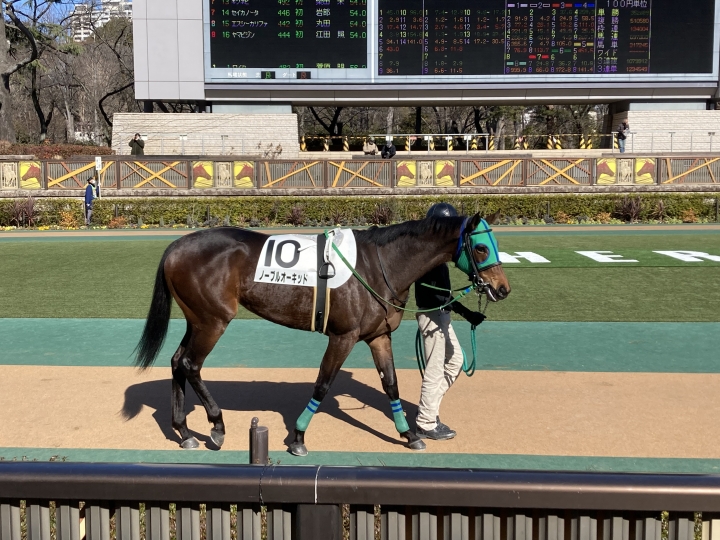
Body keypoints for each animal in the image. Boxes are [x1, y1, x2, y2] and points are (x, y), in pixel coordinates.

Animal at [134, 212, 511, 455]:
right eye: (481, 248)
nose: (502, 288)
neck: (379, 266)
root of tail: (175, 247)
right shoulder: (343, 337)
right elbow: (323, 383)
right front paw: (299, 436)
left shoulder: (379, 337)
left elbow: (390, 384)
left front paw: (409, 434)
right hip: (213, 321)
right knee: (191, 365)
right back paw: (216, 425)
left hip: (198, 320)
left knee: (177, 361)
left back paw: (184, 432)